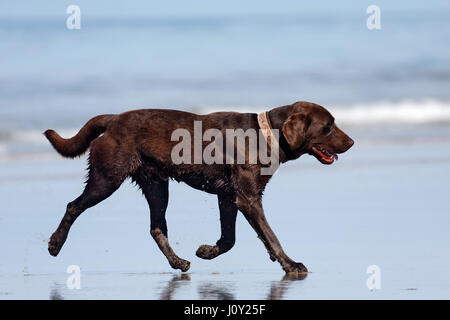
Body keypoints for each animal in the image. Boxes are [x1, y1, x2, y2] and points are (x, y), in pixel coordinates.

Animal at [46, 101, 356, 274]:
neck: (265, 134)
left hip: (156, 186)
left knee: (156, 228)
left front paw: (206, 251)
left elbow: (230, 239)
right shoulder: (247, 199)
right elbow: (270, 235)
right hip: (107, 179)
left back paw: (178, 262)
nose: (352, 142)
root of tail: (112, 119)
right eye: (328, 126)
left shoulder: (229, 198)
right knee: (73, 206)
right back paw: (55, 244)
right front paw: (291, 265)